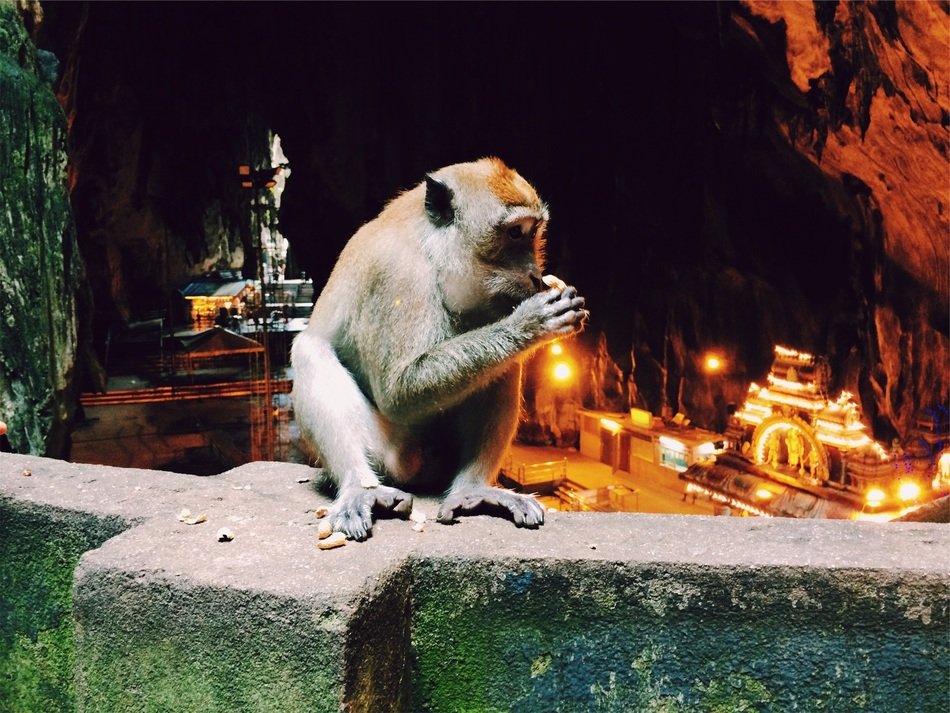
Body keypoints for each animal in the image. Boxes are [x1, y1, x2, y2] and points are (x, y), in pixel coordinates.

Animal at [291, 157, 587, 540]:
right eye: (514, 233)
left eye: (533, 232)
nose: (536, 275)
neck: (432, 248)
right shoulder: (398, 273)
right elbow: (399, 392)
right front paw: (531, 323)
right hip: (392, 457)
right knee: (309, 350)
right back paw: (359, 487)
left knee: (501, 365)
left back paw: (472, 490)